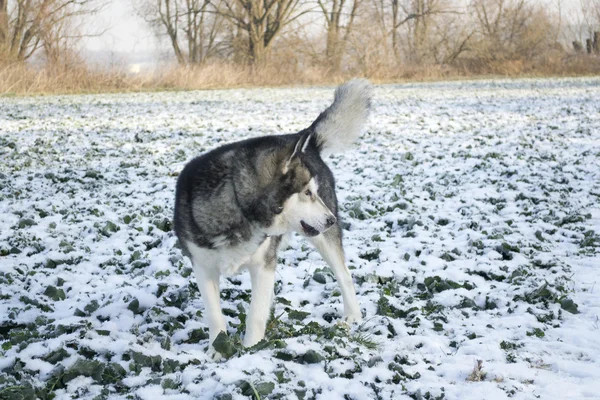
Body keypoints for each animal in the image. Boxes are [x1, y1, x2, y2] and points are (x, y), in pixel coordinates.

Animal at [173, 78, 370, 356]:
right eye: (307, 192)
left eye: (314, 191)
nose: (332, 219)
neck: (239, 206)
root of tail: (308, 143)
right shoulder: (202, 265)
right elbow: (214, 313)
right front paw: (216, 349)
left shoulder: (263, 263)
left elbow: (255, 314)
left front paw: (251, 350)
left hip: (324, 240)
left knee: (344, 275)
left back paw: (353, 315)